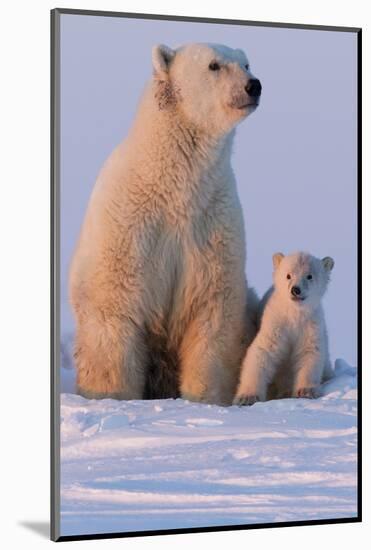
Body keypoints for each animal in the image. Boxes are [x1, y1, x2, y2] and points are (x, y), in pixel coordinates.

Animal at [69, 42, 262, 406]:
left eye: (246, 63)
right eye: (214, 65)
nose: (253, 86)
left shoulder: (212, 222)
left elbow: (211, 312)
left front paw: (203, 399)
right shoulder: (130, 223)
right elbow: (114, 306)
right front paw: (112, 396)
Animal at [235, 253, 338, 406]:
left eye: (309, 276)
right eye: (288, 275)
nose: (296, 290)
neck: (294, 313)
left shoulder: (310, 325)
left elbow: (309, 352)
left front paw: (305, 391)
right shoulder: (276, 323)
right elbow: (262, 352)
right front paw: (247, 397)